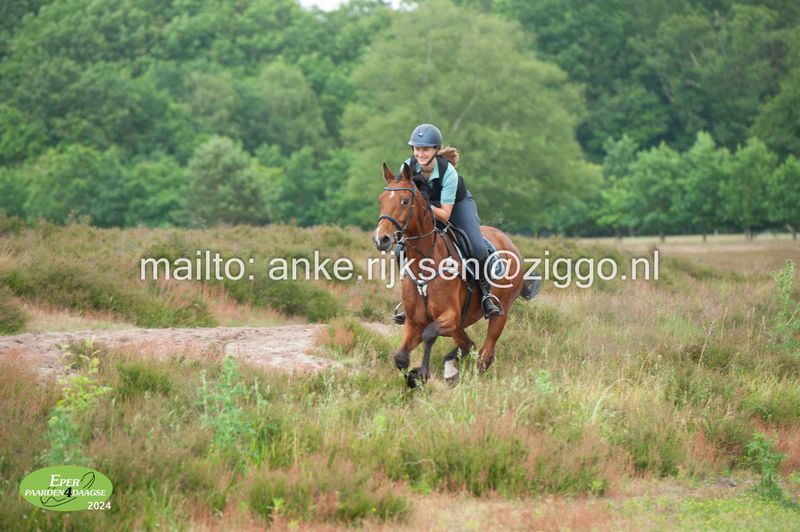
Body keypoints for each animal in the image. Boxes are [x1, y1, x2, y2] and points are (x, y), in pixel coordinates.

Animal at [373, 161, 539, 388]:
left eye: (405, 201)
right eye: (381, 200)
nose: (381, 238)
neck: (425, 264)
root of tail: (510, 243)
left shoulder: (449, 318)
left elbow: (430, 334)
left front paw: (421, 373)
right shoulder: (414, 322)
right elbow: (400, 357)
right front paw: (413, 379)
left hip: (499, 315)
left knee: (484, 355)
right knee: (468, 345)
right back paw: (452, 366)